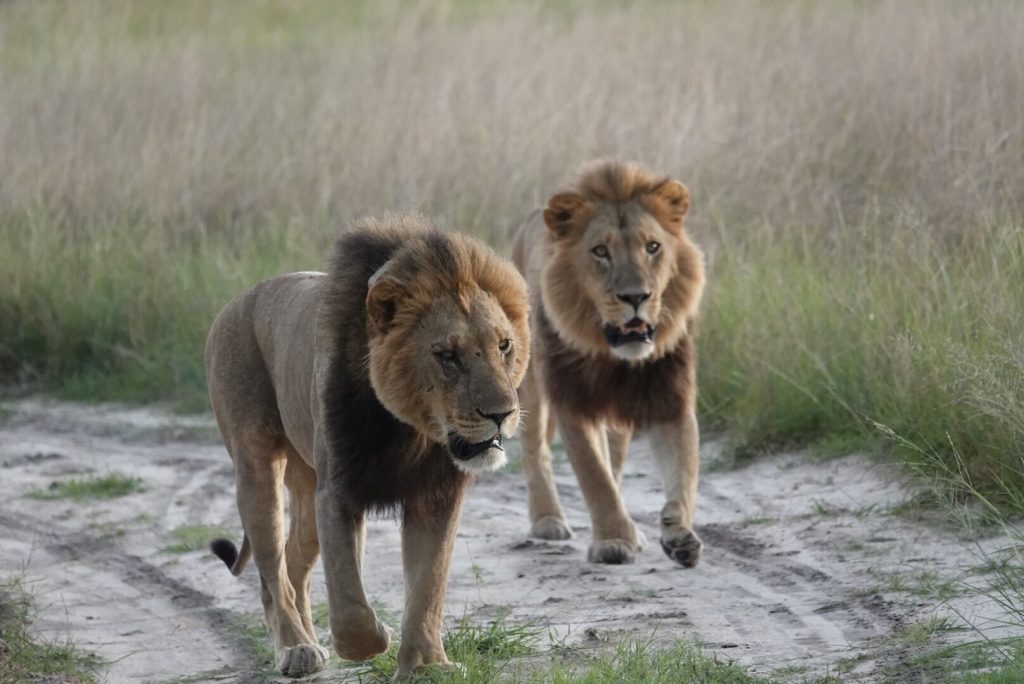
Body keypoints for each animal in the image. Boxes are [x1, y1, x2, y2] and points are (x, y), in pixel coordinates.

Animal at [204, 213, 530, 678]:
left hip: (307, 482)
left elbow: (428, 587)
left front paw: (427, 666)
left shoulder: (436, 496)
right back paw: (296, 648)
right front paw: (373, 640)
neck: (411, 431)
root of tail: (237, 300)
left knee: (294, 563)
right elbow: (349, 602)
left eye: (504, 346)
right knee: (272, 571)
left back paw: (308, 640)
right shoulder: (339, 491)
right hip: (256, 469)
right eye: (447, 356)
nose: (503, 413)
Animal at [511, 160, 705, 567]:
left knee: (614, 460)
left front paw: (678, 534)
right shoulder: (573, 403)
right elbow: (594, 477)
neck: (614, 360)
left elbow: (685, 473)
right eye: (600, 251)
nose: (636, 297)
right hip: (530, 384)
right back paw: (547, 521)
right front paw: (613, 542)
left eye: (653, 247)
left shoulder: (670, 399)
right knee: (535, 450)